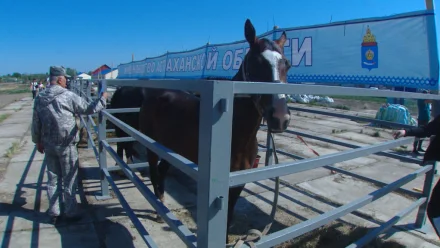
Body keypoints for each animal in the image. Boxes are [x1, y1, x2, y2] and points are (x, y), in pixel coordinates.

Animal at [140, 18, 292, 238]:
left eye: (287, 64)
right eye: (257, 62)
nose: (280, 118)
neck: (235, 134)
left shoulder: (238, 181)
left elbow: (228, 217)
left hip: (171, 149)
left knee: (161, 171)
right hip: (152, 146)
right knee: (154, 172)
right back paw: (158, 209)